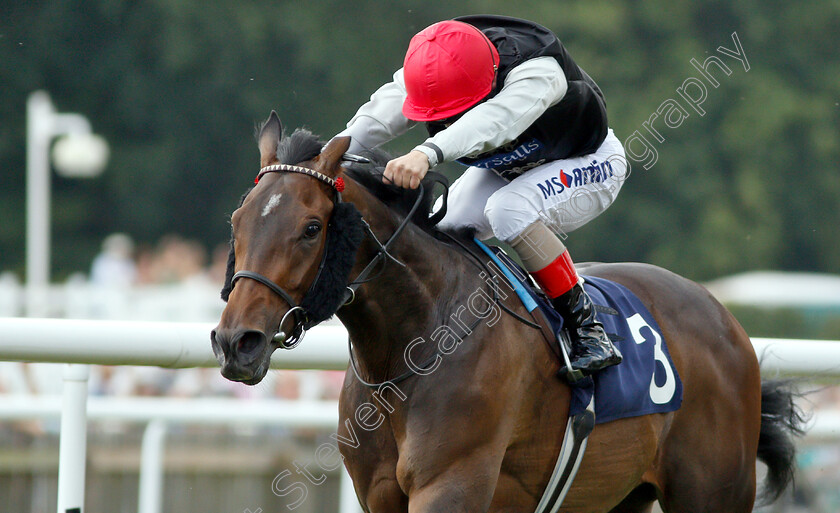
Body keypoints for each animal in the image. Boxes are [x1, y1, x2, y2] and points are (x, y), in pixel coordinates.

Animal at [213, 113, 804, 512]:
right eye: (237, 222)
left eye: (311, 228)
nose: (236, 341)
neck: (413, 348)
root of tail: (724, 319)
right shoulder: (379, 494)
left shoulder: (450, 486)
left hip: (713, 491)